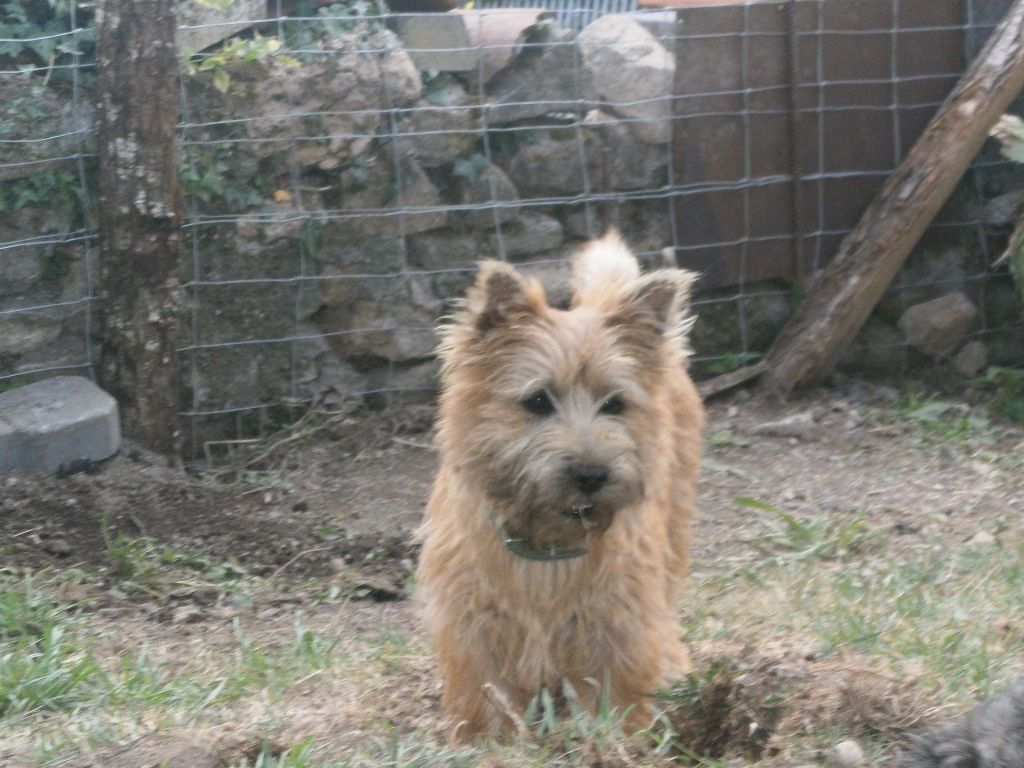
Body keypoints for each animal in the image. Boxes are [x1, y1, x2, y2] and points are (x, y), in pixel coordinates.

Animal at [415, 233, 704, 741]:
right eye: (536, 400)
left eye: (615, 403)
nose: (591, 475)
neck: (546, 540)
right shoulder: (474, 622)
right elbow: (486, 695)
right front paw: (488, 744)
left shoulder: (616, 617)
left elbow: (616, 690)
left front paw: (614, 742)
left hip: (673, 528)